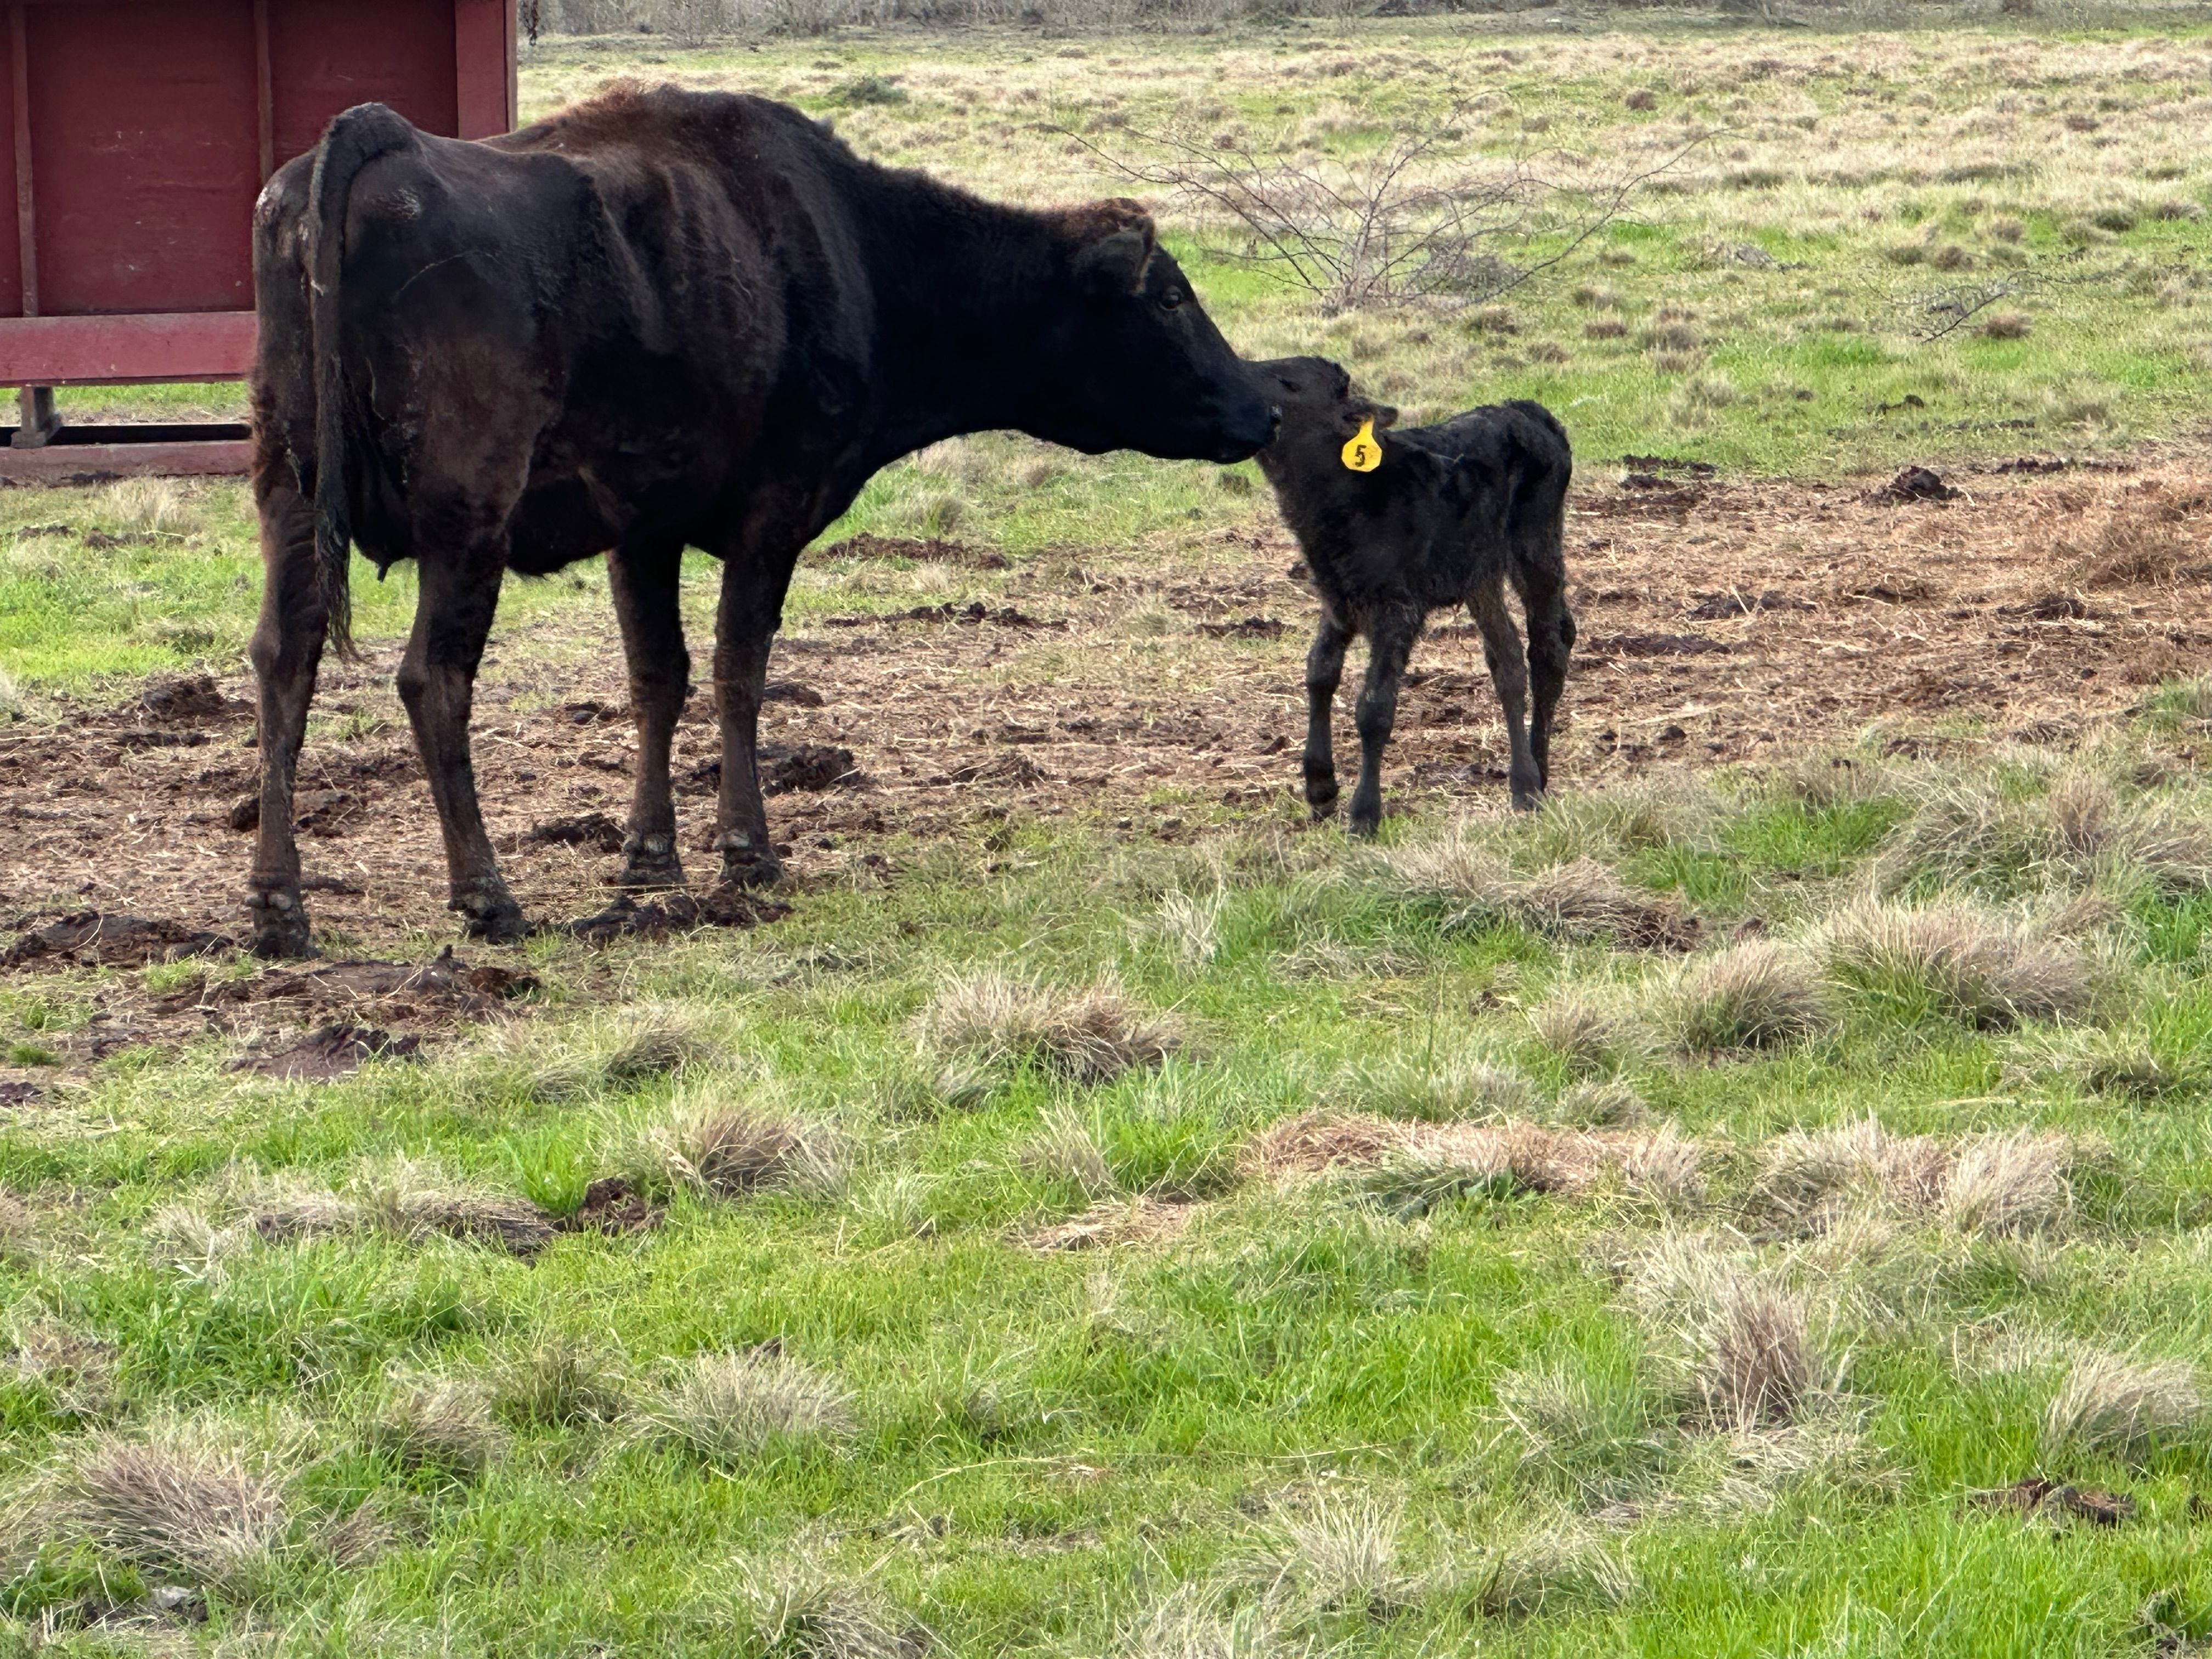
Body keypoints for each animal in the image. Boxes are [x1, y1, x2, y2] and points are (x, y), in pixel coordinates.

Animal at [244, 83, 1279, 958]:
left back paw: (278, 906)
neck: (857, 249)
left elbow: (658, 677)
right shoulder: (770, 520)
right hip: (468, 523)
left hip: (290, 502)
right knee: (434, 678)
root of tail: (378, 141)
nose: (1262, 408)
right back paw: (487, 896)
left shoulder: (644, 530)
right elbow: (739, 670)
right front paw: (749, 850)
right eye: (1171, 295)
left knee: (284, 661)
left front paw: (651, 859)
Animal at [1249, 356, 1573, 834]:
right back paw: (1526, 780)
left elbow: (1374, 708)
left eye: (1290, 384)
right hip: (1479, 571)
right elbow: (1319, 673)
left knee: (1549, 645)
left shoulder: (1398, 607)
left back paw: (1537, 773)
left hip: (1536, 542)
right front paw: (1320, 787)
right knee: (1508, 658)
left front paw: (1364, 814)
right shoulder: (1339, 596)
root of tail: (1526, 409)